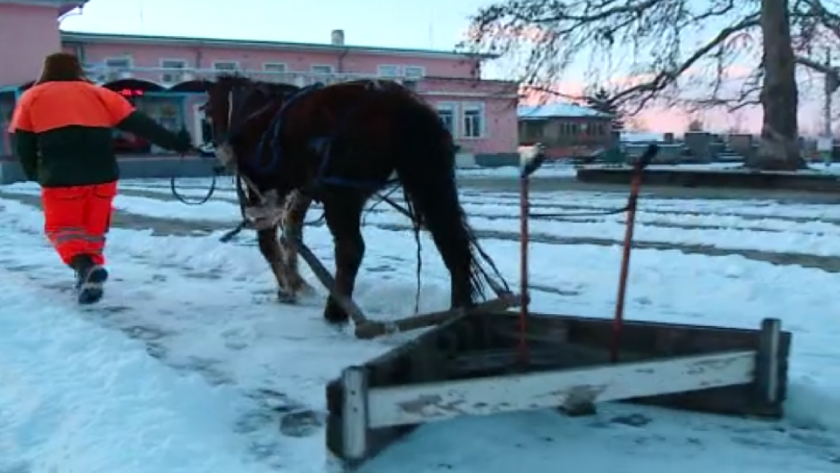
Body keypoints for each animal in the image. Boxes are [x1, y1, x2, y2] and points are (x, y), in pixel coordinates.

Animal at [201, 74, 489, 324]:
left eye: (209, 113)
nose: (220, 150)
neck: (254, 111)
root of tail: (400, 104)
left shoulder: (263, 189)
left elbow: (269, 241)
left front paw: (289, 287)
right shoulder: (300, 191)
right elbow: (291, 233)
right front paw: (297, 283)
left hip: (342, 196)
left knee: (351, 248)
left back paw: (336, 311)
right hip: (429, 181)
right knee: (451, 241)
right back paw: (459, 308)